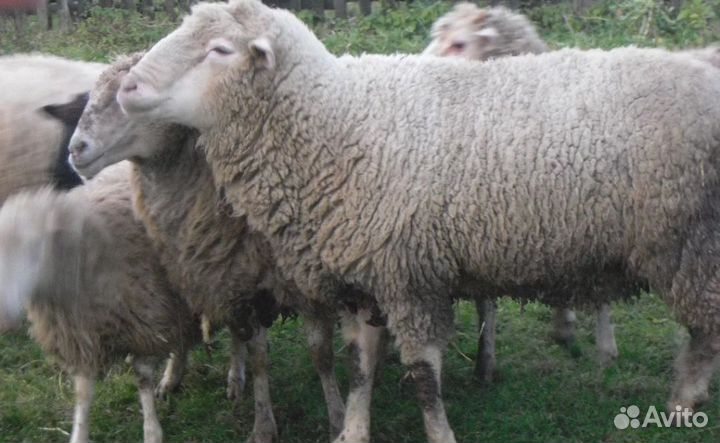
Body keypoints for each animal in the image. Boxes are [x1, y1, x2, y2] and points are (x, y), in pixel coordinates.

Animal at [0, 162, 199, 443]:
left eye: (34, 247)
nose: (5, 320)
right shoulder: (82, 336)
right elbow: (84, 393)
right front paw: (79, 433)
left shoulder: (148, 323)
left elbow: (142, 378)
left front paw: (151, 430)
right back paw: (173, 378)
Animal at [68, 53, 346, 442]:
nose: (75, 149)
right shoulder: (243, 283)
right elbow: (260, 357)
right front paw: (263, 423)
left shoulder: (303, 284)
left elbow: (321, 355)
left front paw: (338, 417)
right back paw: (181, 377)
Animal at [116, 1, 720, 441]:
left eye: (220, 50)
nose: (126, 87)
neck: (337, 126)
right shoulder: (367, 278)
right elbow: (361, 366)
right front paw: (354, 430)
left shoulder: (410, 277)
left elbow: (425, 377)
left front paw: (439, 433)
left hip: (692, 243)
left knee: (703, 331)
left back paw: (683, 404)